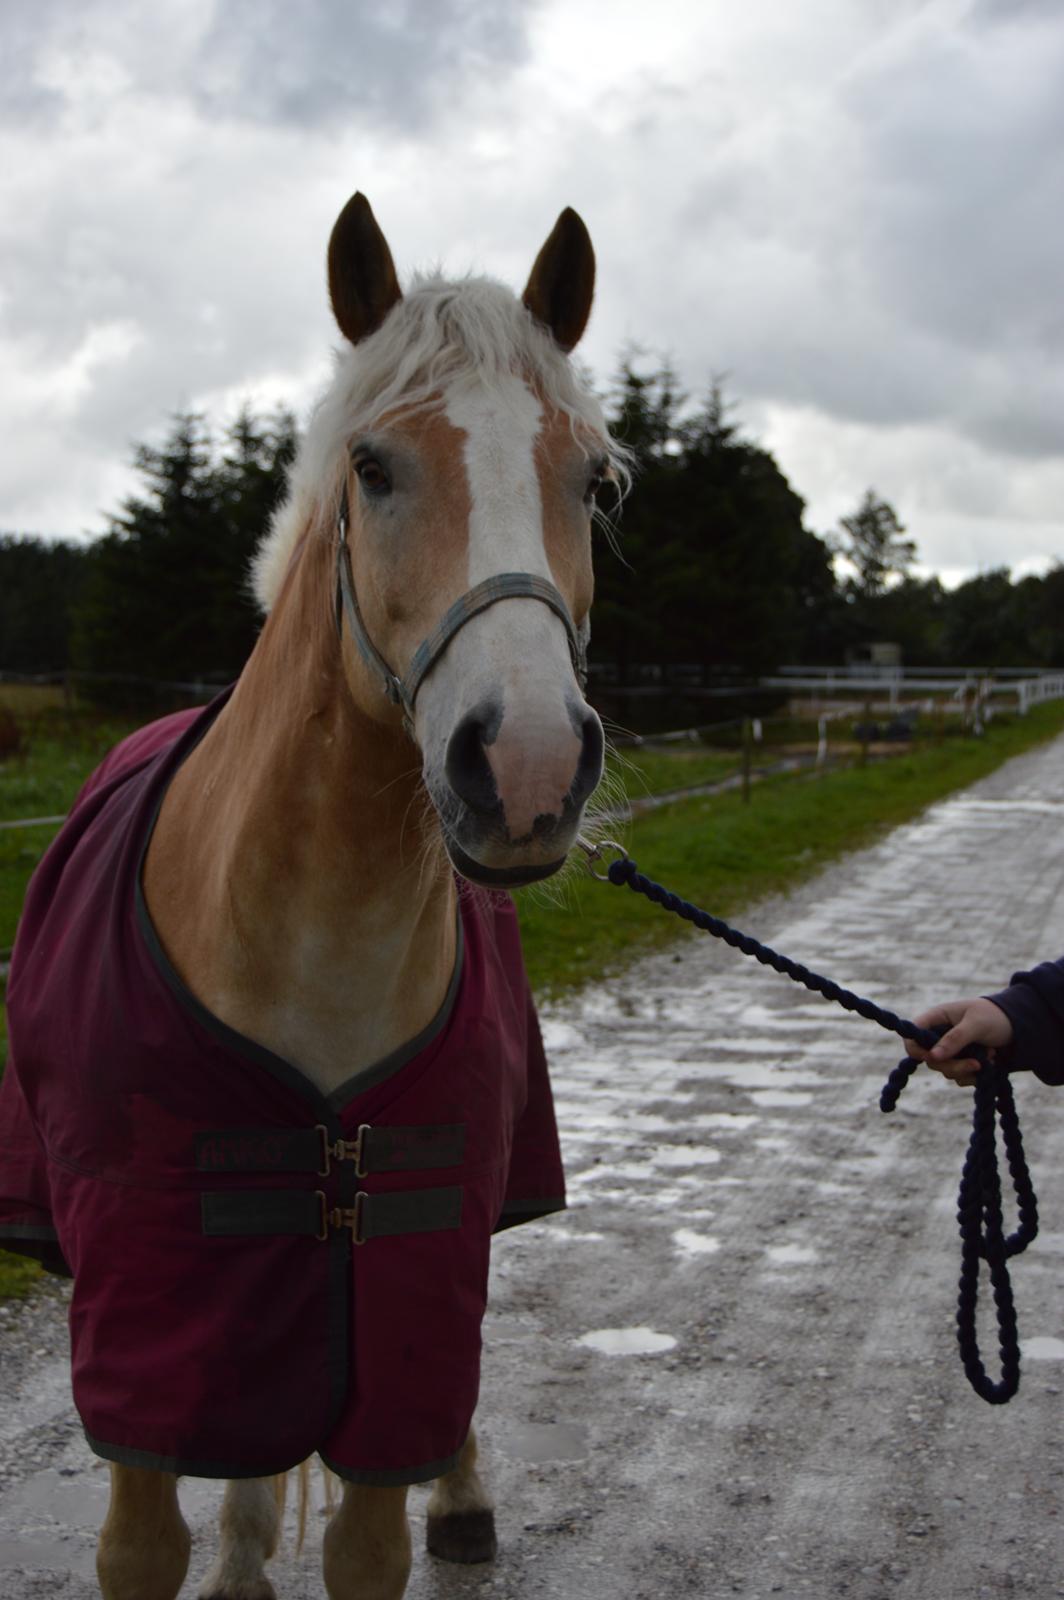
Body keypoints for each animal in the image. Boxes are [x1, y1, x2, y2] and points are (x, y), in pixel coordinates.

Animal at [0, 190, 627, 1600]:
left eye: (590, 479)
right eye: (373, 469)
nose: (525, 765)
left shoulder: (398, 1289)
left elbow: (371, 1530)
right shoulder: (152, 1322)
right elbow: (148, 1539)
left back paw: (462, 1497)